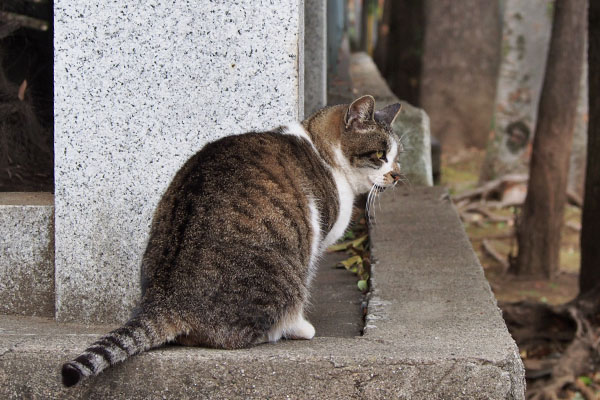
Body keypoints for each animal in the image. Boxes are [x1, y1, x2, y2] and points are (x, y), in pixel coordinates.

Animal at [59, 95, 404, 386]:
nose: (397, 175)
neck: (320, 150)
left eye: (397, 157)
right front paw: (300, 325)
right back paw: (292, 329)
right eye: (380, 155)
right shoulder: (312, 242)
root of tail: (164, 301)